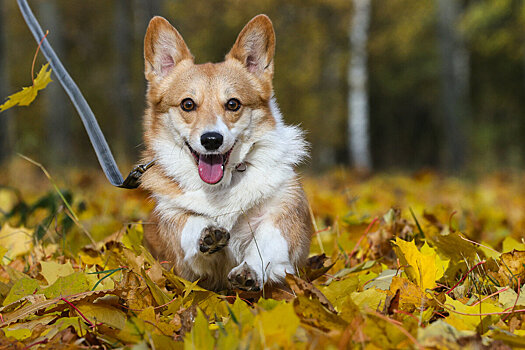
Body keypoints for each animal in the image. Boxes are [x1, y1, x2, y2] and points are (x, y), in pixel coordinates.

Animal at [138, 14, 312, 292]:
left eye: (233, 104)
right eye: (188, 104)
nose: (211, 140)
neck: (220, 188)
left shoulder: (282, 212)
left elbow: (267, 242)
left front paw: (249, 270)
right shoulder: (176, 228)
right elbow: (190, 224)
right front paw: (208, 233)